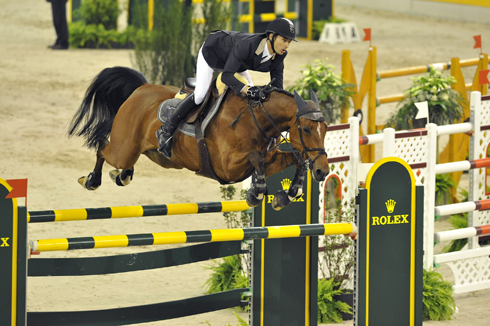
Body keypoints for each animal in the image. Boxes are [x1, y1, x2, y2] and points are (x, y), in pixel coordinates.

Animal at [69, 66, 330, 210]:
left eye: (326, 129)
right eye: (307, 129)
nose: (323, 172)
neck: (255, 118)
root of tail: (141, 88)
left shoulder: (269, 158)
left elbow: (296, 160)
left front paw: (289, 193)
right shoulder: (227, 167)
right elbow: (257, 158)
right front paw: (256, 192)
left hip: (161, 158)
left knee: (125, 161)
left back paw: (122, 176)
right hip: (124, 149)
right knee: (103, 148)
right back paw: (92, 180)